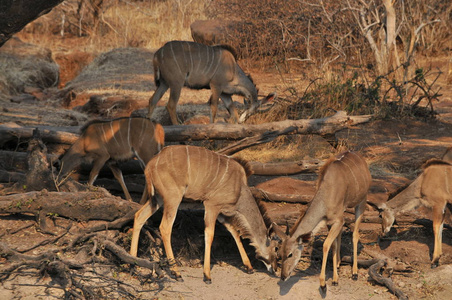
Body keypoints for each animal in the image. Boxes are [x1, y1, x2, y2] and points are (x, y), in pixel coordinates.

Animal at [130, 145, 278, 284]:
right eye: (276, 248)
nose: (275, 269)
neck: (240, 189)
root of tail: (151, 164)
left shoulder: (221, 213)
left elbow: (234, 232)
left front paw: (249, 267)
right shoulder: (211, 205)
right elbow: (209, 234)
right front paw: (207, 276)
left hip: (157, 199)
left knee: (139, 216)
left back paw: (132, 263)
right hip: (173, 198)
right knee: (165, 227)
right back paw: (176, 273)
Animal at [148, 40, 276, 123]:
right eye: (251, 112)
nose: (243, 120)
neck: (233, 70)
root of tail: (157, 54)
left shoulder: (225, 94)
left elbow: (233, 111)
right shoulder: (216, 86)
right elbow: (214, 107)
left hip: (164, 83)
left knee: (153, 100)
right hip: (176, 84)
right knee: (170, 105)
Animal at [276, 151, 370, 292]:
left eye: (290, 254)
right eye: (280, 253)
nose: (283, 276)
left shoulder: (338, 220)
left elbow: (326, 245)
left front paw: (323, 283)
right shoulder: (331, 222)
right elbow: (333, 245)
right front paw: (335, 278)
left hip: (361, 201)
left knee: (355, 234)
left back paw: (354, 273)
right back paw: (338, 263)